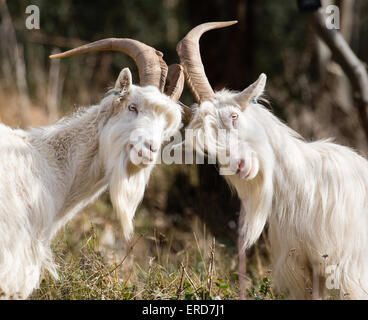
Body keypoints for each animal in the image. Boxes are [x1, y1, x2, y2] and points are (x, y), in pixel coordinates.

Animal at [178, 21, 368, 298]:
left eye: (234, 116)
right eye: (207, 144)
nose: (241, 166)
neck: (305, 187)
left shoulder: (348, 271)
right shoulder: (302, 268)